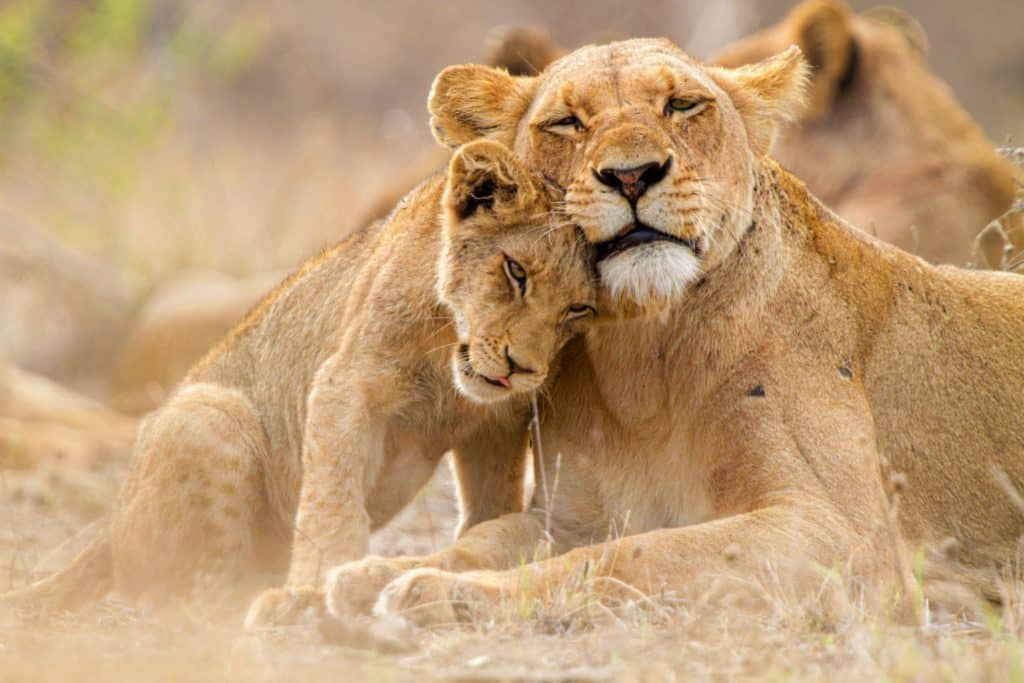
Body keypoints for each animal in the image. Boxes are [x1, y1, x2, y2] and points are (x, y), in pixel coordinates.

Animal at [1, 140, 597, 621]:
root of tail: (109, 526)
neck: (448, 356)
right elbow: (333, 503)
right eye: (516, 272)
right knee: (196, 595)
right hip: (210, 412)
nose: (522, 368)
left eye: (578, 309)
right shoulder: (345, 384)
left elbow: (490, 507)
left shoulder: (496, 425)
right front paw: (312, 589)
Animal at [320, 38, 1024, 629]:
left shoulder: (847, 538)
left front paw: (441, 594)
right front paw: (375, 573)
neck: (644, 357)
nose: (632, 175)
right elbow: (486, 538)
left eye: (682, 105)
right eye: (567, 122)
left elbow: (631, 556)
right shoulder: (571, 517)